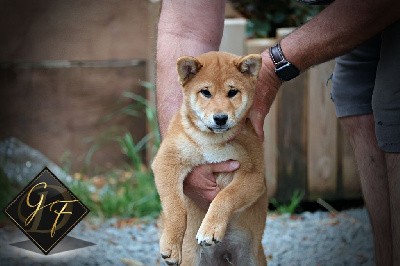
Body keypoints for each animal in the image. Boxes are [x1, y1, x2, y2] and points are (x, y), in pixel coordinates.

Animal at [153, 51, 268, 264]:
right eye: (205, 92)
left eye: (233, 92)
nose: (220, 118)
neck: (212, 141)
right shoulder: (167, 161)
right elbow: (175, 208)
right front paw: (171, 245)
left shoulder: (254, 175)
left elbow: (225, 196)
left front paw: (210, 229)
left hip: (252, 258)